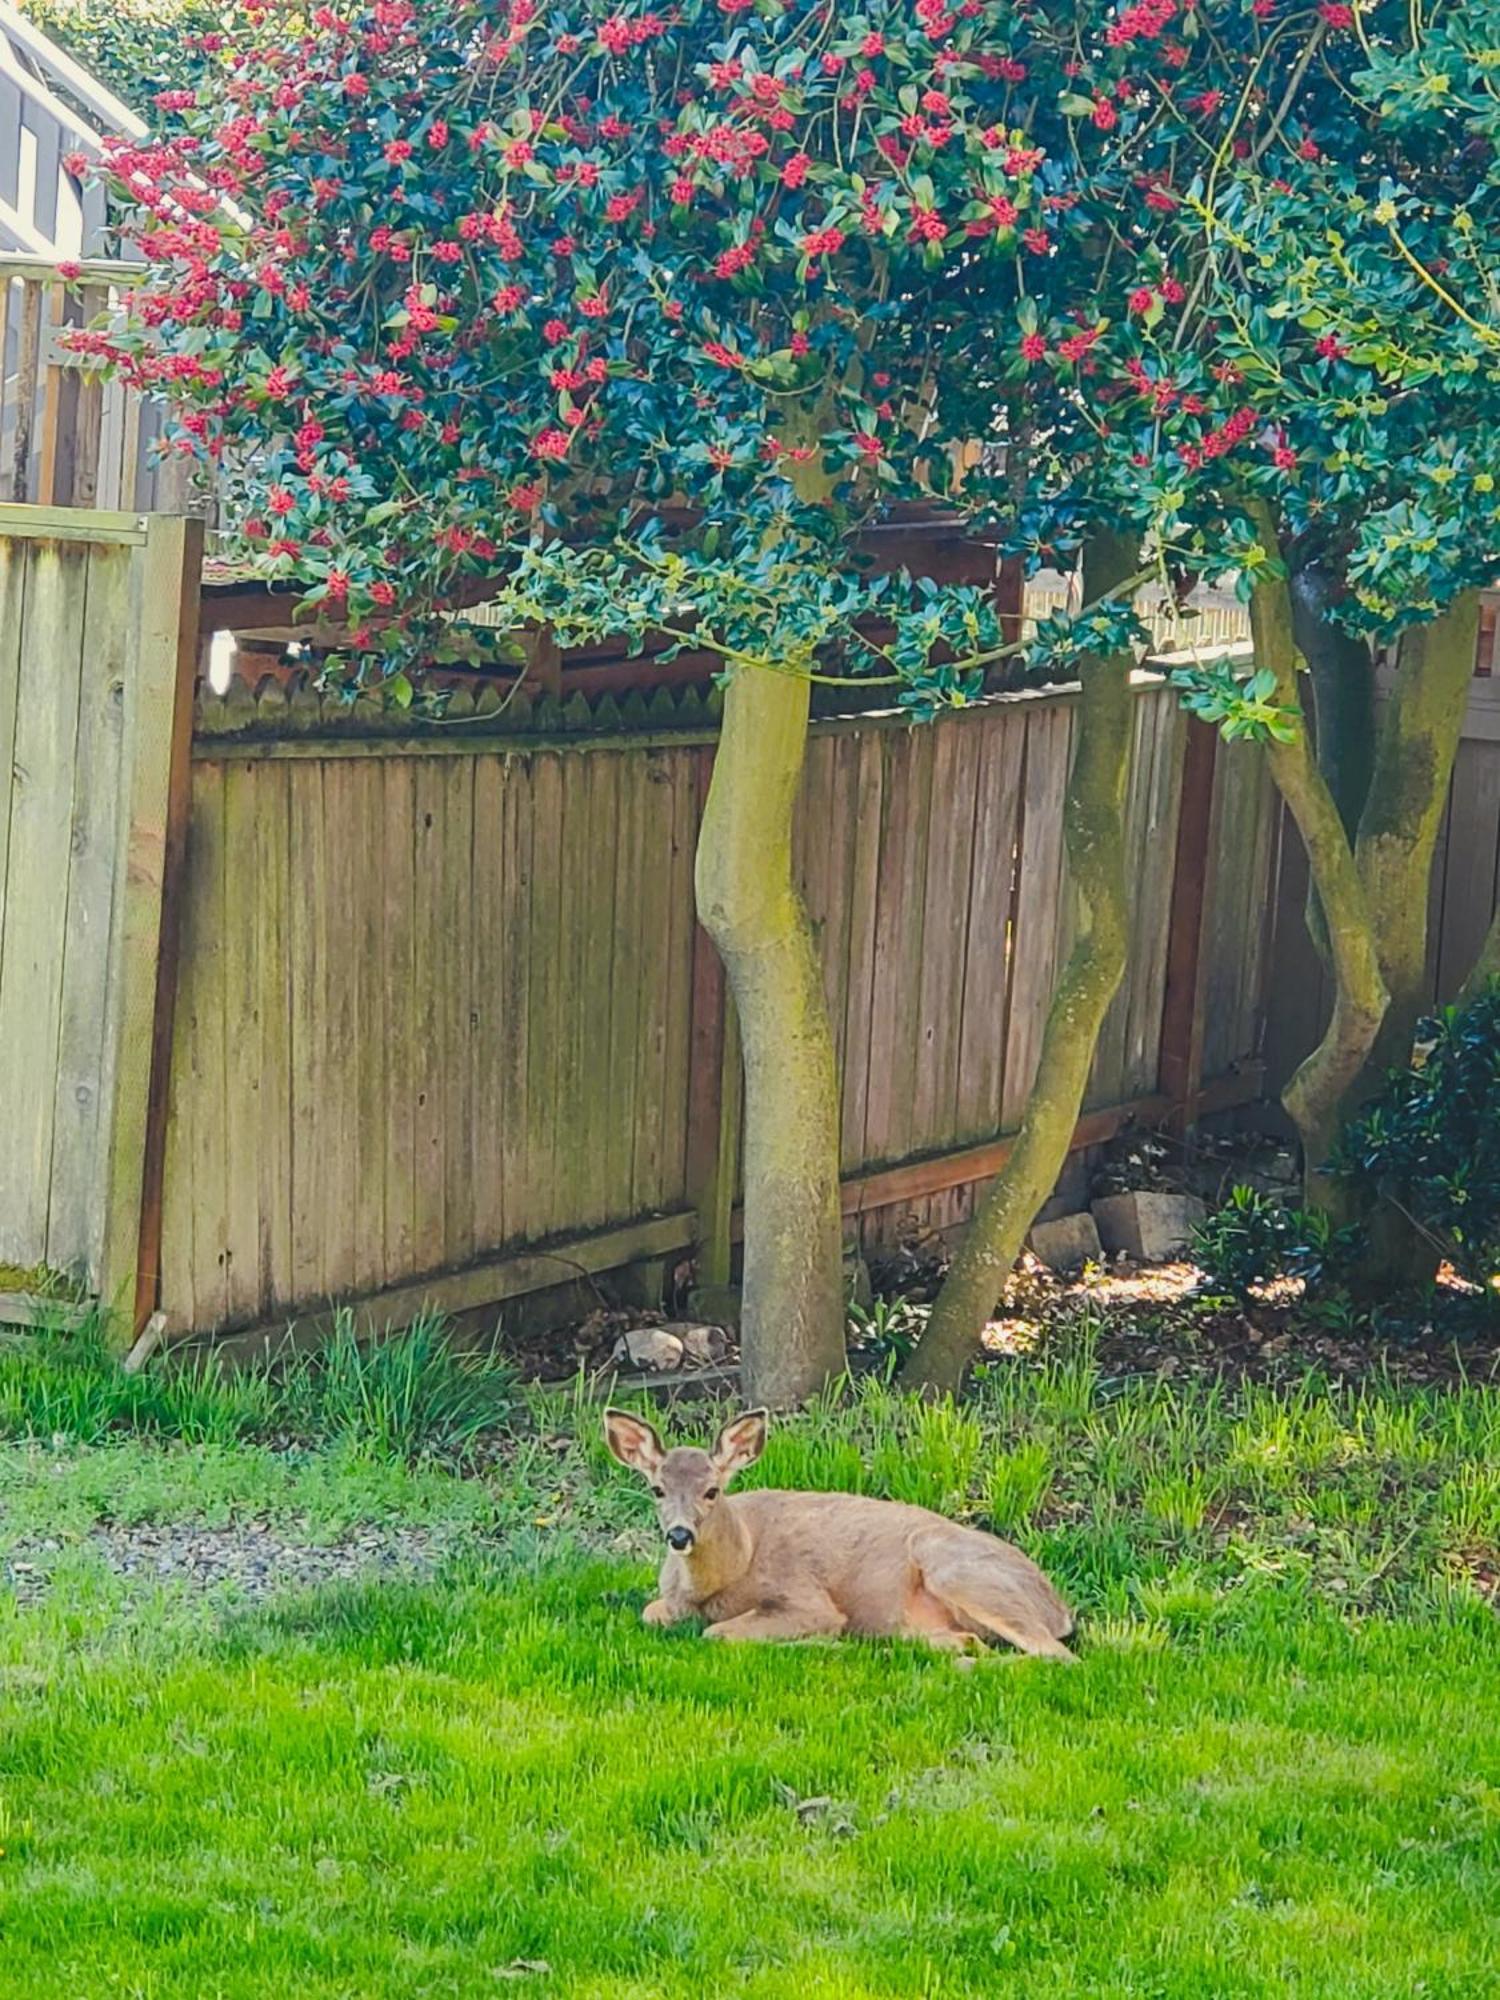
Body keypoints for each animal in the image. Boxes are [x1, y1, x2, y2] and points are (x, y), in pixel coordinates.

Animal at [604, 1400, 1080, 1664]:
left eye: (711, 1491)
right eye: (657, 1489)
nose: (679, 1536)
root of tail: (1060, 1610)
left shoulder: (805, 1597)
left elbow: (717, 1633)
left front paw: (823, 1641)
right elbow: (650, 1613)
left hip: (957, 1570)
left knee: (1058, 1657)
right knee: (972, 1641)